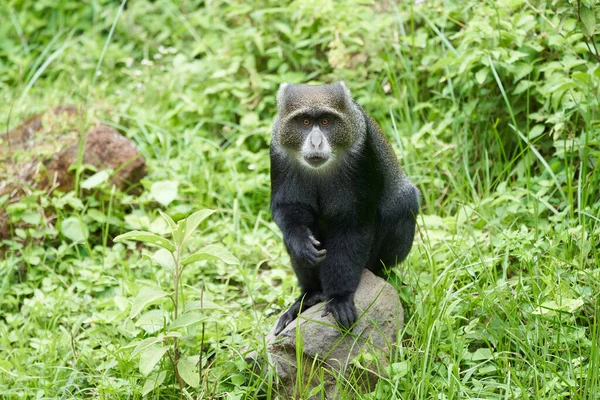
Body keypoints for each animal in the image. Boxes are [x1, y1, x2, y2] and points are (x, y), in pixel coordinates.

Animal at [270, 81, 420, 334]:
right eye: (305, 122)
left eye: (326, 121)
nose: (316, 142)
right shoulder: (278, 151)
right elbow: (287, 208)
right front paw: (301, 241)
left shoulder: (361, 153)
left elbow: (352, 227)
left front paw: (339, 298)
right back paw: (310, 295)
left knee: (402, 204)